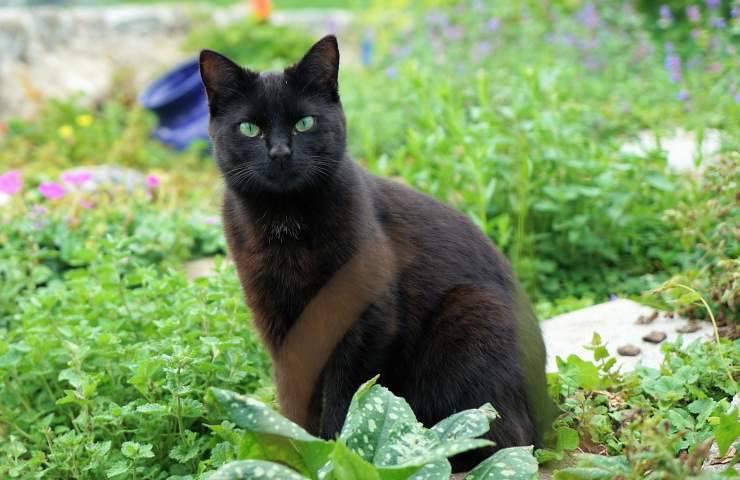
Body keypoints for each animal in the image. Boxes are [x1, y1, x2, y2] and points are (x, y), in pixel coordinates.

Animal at [199, 35, 552, 470]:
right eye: (249, 128)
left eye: (304, 123)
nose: (280, 152)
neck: (286, 225)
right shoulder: (280, 324)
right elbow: (293, 398)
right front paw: (296, 454)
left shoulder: (365, 322)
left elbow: (346, 399)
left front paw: (337, 452)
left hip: (476, 316)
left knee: (503, 440)